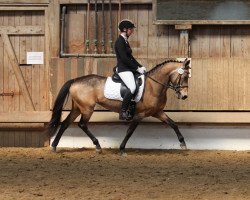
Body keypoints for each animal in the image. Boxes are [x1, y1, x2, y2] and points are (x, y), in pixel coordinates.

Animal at [46, 58, 190, 155]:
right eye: (183, 76)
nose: (184, 96)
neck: (153, 86)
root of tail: (75, 80)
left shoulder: (158, 112)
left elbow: (173, 124)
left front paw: (183, 143)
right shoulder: (139, 115)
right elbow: (129, 131)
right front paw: (121, 149)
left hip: (77, 108)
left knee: (65, 123)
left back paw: (54, 146)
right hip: (87, 108)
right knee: (82, 124)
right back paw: (97, 146)